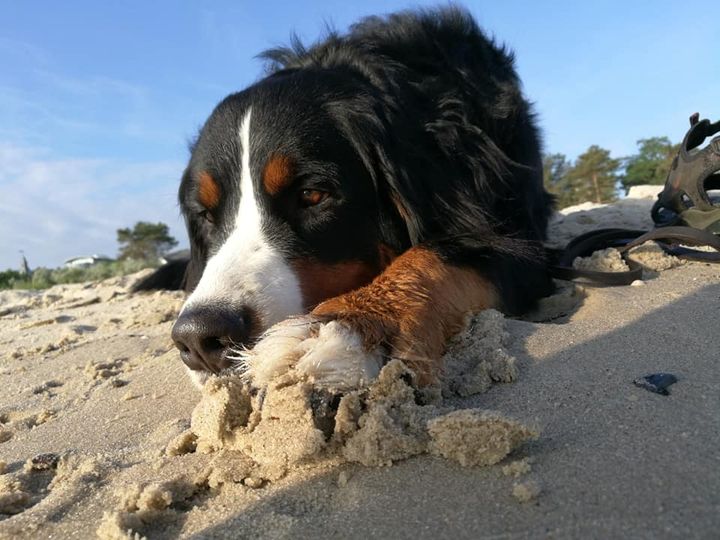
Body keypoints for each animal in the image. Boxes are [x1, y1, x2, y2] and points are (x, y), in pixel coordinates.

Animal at [155, 7, 556, 388]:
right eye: (206, 215)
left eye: (312, 194)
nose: (200, 336)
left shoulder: (520, 241)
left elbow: (432, 257)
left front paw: (345, 324)